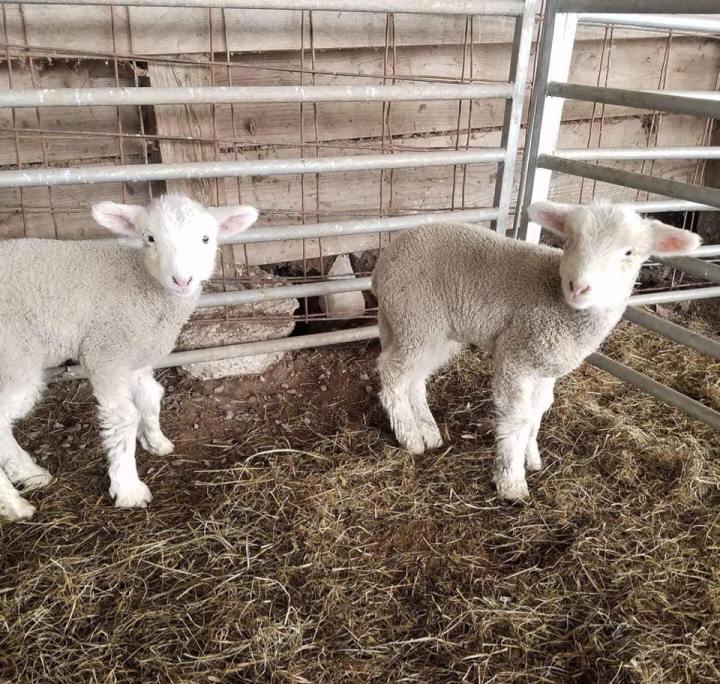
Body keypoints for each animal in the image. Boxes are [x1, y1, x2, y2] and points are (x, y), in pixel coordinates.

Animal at [0, 195, 258, 520]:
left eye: (205, 238)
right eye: (150, 238)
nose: (182, 280)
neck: (144, 286)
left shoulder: (136, 353)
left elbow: (151, 395)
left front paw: (156, 442)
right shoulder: (104, 352)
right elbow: (123, 417)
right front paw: (128, 487)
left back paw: (30, 474)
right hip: (15, 356)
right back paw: (13, 502)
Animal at [374, 200, 700, 500]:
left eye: (628, 253)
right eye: (570, 240)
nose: (578, 287)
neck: (560, 303)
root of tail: (385, 260)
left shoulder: (546, 366)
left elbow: (539, 410)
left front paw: (530, 457)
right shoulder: (515, 356)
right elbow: (517, 416)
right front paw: (511, 482)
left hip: (431, 331)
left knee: (415, 378)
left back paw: (428, 431)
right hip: (417, 318)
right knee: (392, 373)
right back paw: (410, 437)